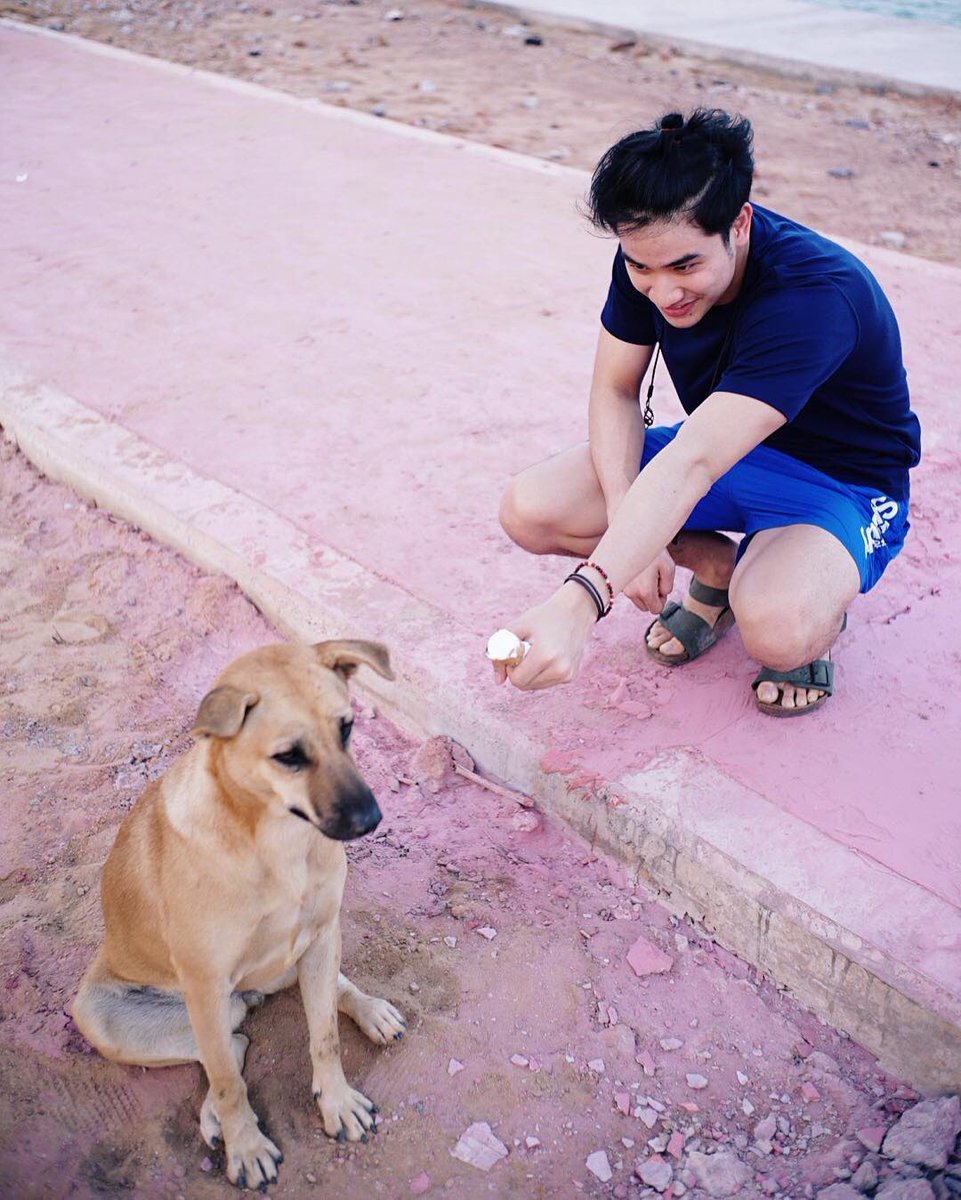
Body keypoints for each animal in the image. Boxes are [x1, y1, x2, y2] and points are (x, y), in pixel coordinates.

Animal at [71, 638, 407, 1190]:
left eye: (347, 727)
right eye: (288, 756)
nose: (370, 821)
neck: (276, 842)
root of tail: (250, 995)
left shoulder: (320, 936)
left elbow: (325, 1039)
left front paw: (337, 1103)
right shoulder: (206, 986)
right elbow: (229, 1082)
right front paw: (246, 1146)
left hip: (300, 958)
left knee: (276, 1020)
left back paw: (372, 1011)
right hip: (114, 1016)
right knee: (232, 1045)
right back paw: (214, 1116)